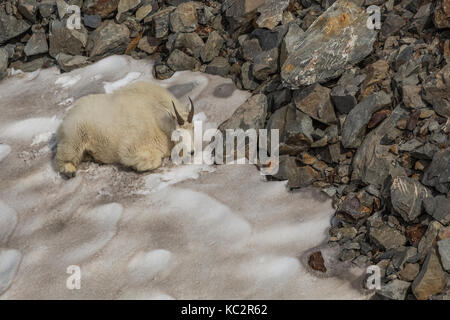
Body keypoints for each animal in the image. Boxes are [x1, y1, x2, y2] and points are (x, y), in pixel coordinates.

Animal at [55, 80, 195, 178]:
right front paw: (137, 166)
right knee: (64, 155)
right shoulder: (133, 144)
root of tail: (66, 116)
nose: (191, 152)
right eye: (178, 131)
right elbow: (151, 159)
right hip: (75, 134)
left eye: (193, 127)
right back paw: (69, 170)